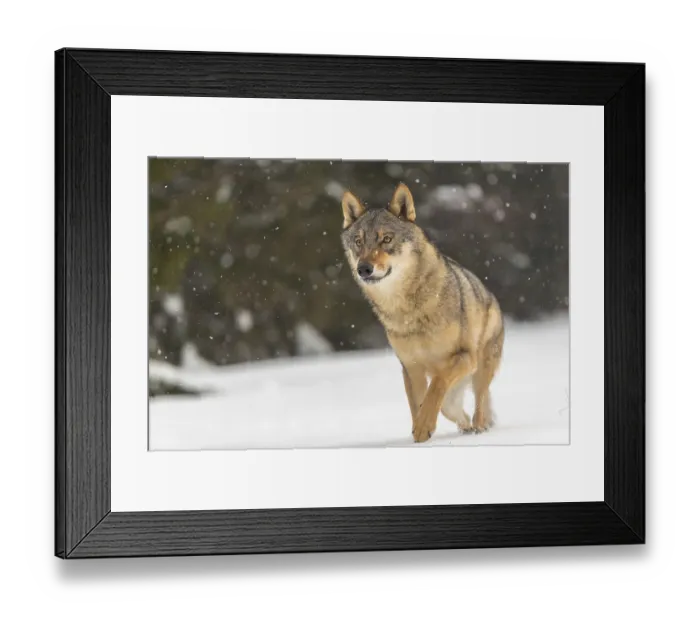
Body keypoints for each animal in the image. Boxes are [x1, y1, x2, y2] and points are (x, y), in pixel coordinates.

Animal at [340, 183, 505, 443]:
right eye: (358, 241)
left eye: (386, 239)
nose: (363, 268)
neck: (409, 312)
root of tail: (489, 293)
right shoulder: (411, 368)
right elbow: (417, 403)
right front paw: (419, 432)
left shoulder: (464, 357)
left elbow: (436, 385)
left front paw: (424, 426)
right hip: (456, 391)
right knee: (455, 410)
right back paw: (466, 429)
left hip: (481, 366)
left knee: (479, 402)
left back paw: (479, 429)